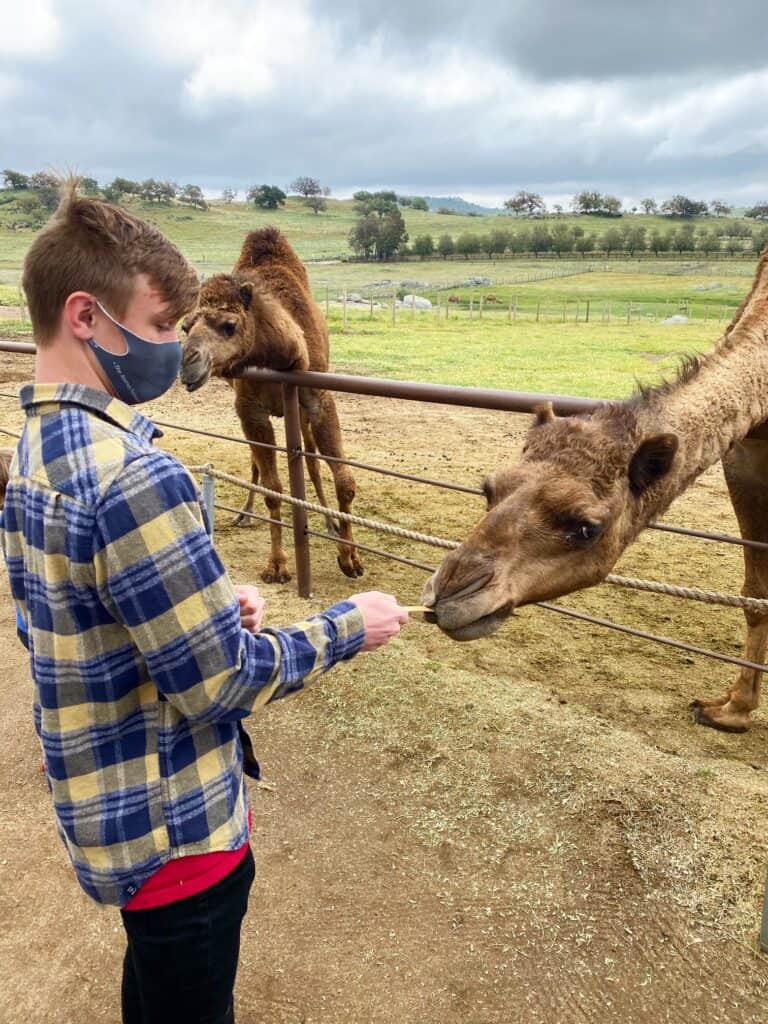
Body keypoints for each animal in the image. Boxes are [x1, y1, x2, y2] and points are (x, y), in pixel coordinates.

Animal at [179, 233, 364, 585]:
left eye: (229, 325)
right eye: (185, 326)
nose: (187, 364)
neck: (282, 356)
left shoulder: (317, 398)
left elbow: (344, 480)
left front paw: (350, 558)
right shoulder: (250, 409)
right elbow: (274, 489)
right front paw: (278, 566)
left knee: (311, 459)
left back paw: (328, 522)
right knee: (258, 463)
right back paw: (244, 514)